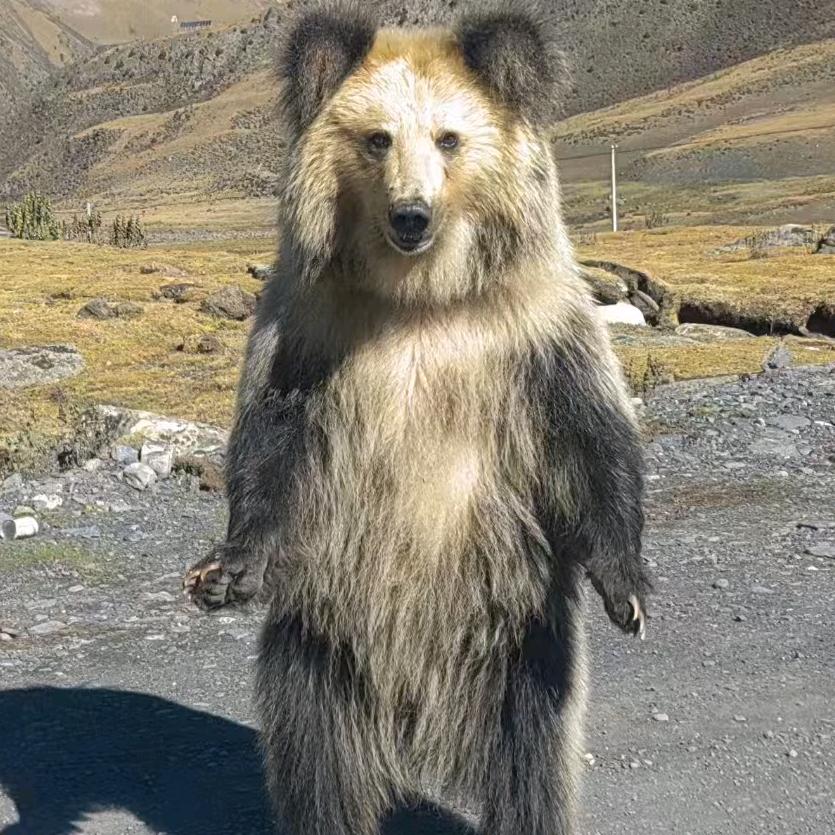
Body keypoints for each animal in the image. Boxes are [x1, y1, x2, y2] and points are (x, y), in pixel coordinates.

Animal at [184, 3, 650, 833]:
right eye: (376, 137)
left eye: (448, 136)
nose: (411, 215)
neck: (419, 298)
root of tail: (412, 717)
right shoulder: (311, 328)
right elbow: (270, 441)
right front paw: (227, 569)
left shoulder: (531, 328)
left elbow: (591, 435)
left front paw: (624, 586)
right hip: (323, 641)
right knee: (313, 758)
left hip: (513, 637)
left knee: (531, 759)